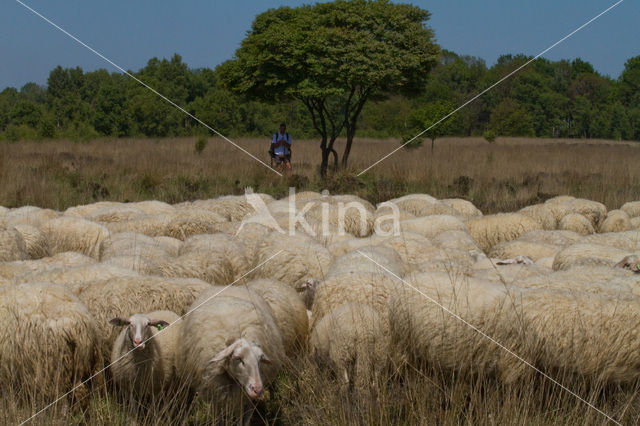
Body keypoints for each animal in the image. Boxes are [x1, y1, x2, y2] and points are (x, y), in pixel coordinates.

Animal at [176, 288, 284, 422]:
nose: (257, 390)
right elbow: (219, 419)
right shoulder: (216, 394)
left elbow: (244, 419)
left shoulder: (246, 398)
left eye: (260, 360)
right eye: (238, 358)